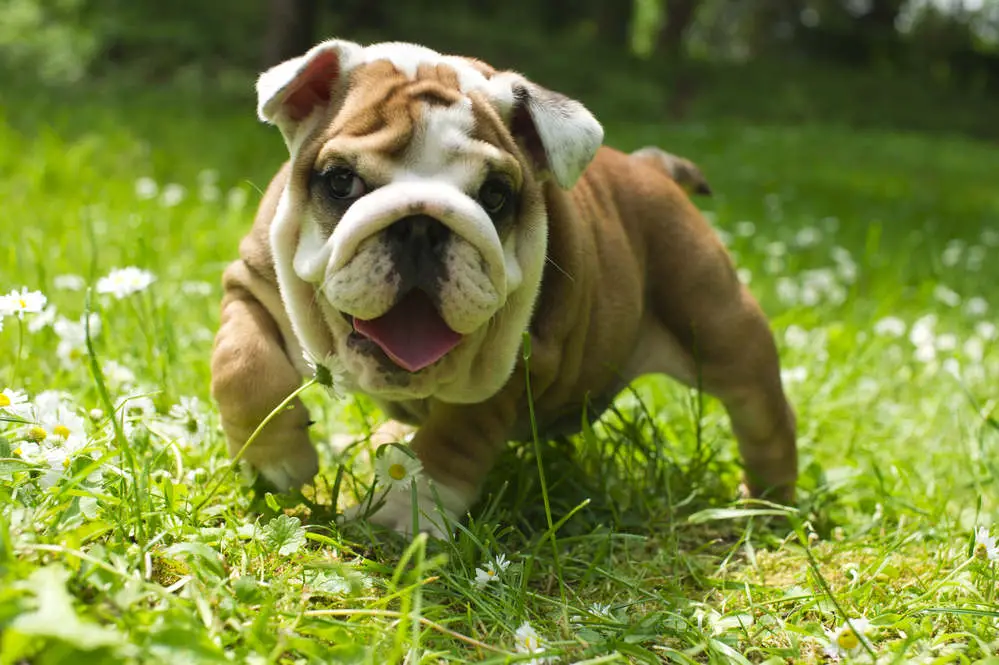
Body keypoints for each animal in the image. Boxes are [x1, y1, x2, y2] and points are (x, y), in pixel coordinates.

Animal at [209, 37, 796, 536]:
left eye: (494, 195)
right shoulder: (252, 283)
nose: (419, 225)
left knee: (762, 411)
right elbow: (242, 365)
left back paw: (769, 502)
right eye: (339, 181)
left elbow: (453, 437)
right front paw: (275, 461)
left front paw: (403, 512)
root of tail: (649, 167)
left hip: (717, 326)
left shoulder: (512, 364)